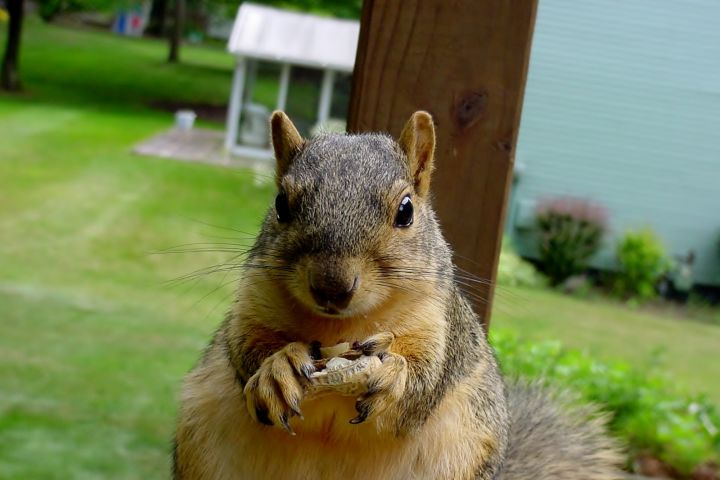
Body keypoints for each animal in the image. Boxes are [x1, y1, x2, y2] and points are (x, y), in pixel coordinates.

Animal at [172, 110, 620, 478]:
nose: (332, 287)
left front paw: (388, 374)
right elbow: (243, 348)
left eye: (406, 210)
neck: (338, 328)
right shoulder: (254, 302)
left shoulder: (440, 325)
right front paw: (276, 369)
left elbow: (423, 383)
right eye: (281, 204)